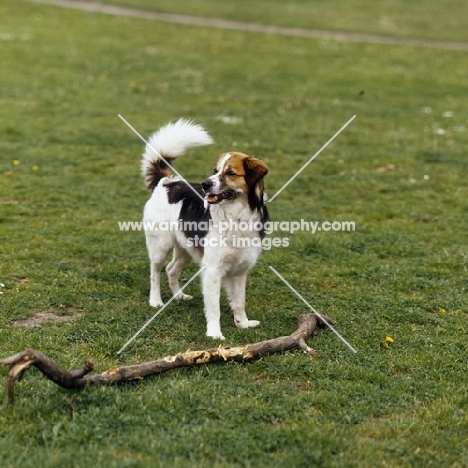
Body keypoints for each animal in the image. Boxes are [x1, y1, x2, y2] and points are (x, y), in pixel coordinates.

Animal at [141, 119, 268, 340]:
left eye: (230, 173)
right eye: (215, 170)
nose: (205, 184)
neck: (236, 216)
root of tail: (167, 181)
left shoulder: (240, 269)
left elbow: (239, 301)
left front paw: (243, 324)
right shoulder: (212, 270)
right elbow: (214, 307)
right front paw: (214, 333)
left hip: (186, 247)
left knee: (171, 269)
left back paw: (179, 296)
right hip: (160, 246)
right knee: (155, 272)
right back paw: (156, 300)